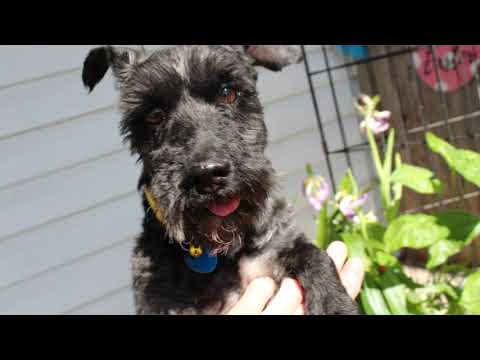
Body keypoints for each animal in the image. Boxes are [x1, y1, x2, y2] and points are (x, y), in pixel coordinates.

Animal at [82, 45, 360, 316]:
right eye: (153, 115)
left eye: (228, 93)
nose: (207, 174)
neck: (224, 250)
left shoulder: (275, 246)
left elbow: (313, 254)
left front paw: (335, 303)